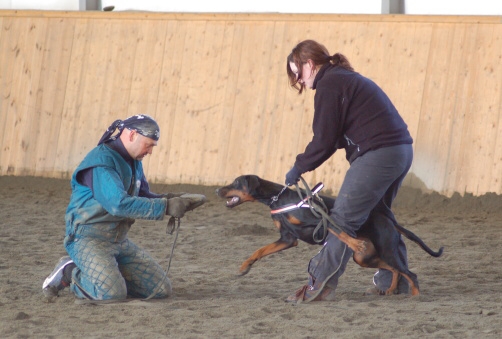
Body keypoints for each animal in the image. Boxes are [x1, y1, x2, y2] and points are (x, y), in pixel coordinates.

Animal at [218, 177, 446, 296]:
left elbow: (339, 231)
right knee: (395, 270)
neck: (278, 199)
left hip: (386, 249)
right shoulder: (287, 239)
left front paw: (354, 241)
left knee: (410, 274)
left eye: (236, 182)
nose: (217, 190)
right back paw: (390, 290)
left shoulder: (319, 220)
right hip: (364, 259)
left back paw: (415, 297)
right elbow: (260, 250)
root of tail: (389, 220)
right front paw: (244, 267)